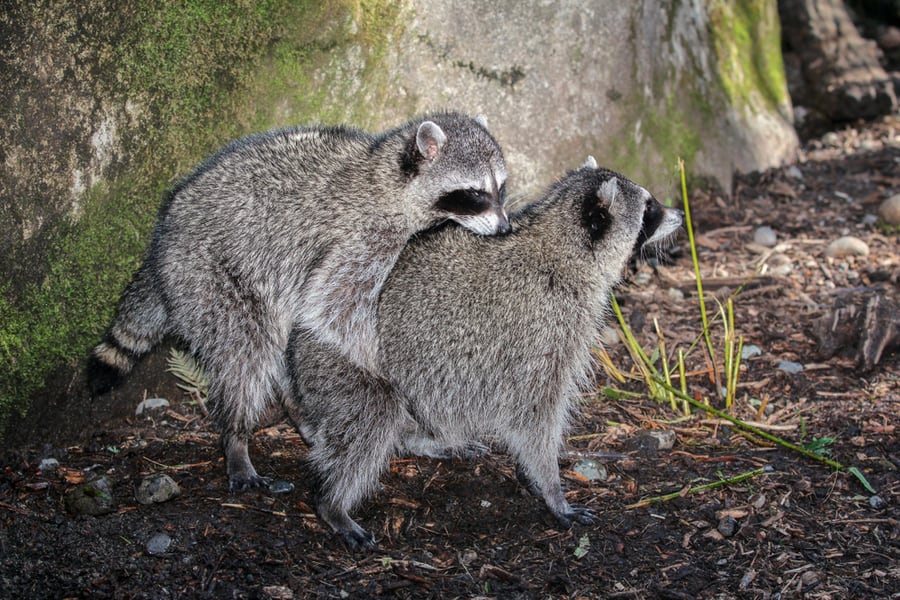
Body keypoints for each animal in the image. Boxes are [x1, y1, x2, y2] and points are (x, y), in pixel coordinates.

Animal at [88, 112, 510, 492]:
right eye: (475, 194)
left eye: (501, 189)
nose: (505, 227)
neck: (389, 177)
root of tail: (160, 242)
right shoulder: (362, 237)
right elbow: (332, 314)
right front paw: (386, 375)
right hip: (208, 274)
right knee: (247, 353)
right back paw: (236, 436)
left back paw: (299, 412)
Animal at [288, 157, 684, 552]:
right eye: (649, 208)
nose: (680, 213)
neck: (557, 240)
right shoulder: (543, 331)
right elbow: (534, 415)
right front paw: (551, 488)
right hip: (344, 366)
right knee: (372, 417)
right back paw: (333, 502)